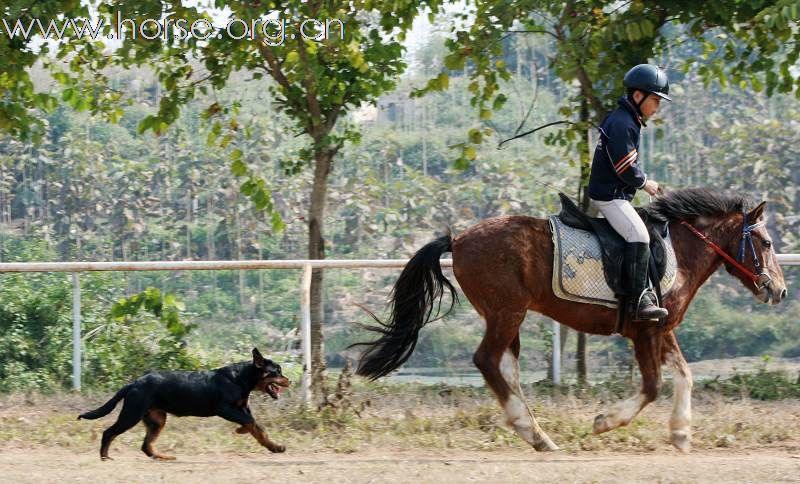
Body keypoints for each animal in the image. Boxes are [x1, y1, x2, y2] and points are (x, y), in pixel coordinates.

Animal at [77, 348, 290, 462]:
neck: (241, 379)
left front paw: (275, 447)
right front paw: (241, 430)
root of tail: (134, 383)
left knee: (146, 446)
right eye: (277, 371)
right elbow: (251, 423)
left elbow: (258, 428)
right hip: (132, 413)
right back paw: (105, 457)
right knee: (109, 433)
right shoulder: (225, 408)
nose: (290, 381)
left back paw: (164, 457)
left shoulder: (242, 408)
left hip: (157, 419)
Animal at [352, 187, 788, 452]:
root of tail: (458, 239)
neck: (678, 251)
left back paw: (537, 434)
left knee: (505, 368)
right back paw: (530, 430)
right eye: (766, 243)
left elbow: (684, 374)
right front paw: (605, 422)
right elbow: (652, 386)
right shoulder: (645, 329)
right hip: (506, 313)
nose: (780, 291)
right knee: (487, 361)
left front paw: (681, 433)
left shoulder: (662, 328)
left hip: (506, 317)